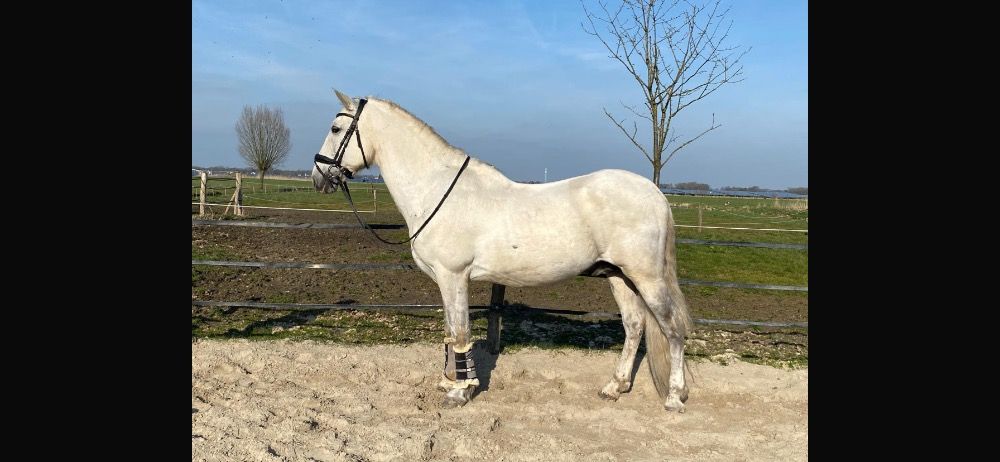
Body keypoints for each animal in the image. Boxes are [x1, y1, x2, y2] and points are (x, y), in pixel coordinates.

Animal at [312, 90, 693, 412]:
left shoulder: (454, 277)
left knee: (673, 328)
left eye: (335, 128)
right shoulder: (444, 281)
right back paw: (614, 387)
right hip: (618, 275)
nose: (318, 176)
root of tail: (655, 194)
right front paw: (447, 382)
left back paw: (674, 398)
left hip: (647, 278)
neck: (437, 190)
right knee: (634, 326)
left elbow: (461, 332)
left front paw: (460, 392)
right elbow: (450, 331)